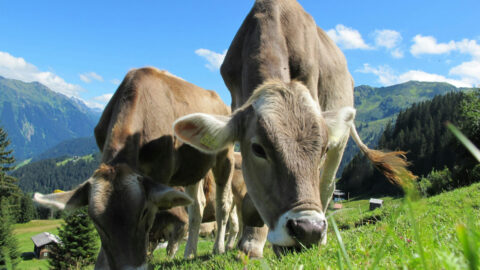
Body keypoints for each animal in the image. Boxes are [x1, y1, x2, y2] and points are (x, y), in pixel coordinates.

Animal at [31, 67, 234, 268]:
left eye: (143, 212)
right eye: (95, 221)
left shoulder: (160, 173)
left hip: (225, 156)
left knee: (224, 203)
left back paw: (219, 248)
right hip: (193, 169)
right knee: (197, 206)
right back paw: (190, 253)